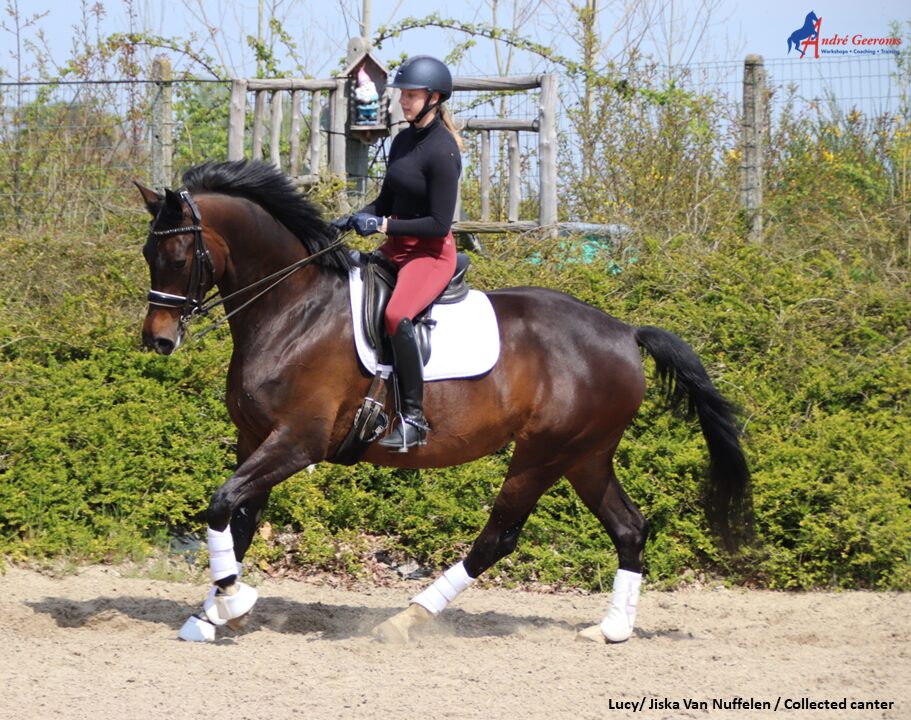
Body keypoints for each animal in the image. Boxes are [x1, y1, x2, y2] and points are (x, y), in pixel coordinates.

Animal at [134, 160, 748, 644]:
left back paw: (406, 620)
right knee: (629, 528)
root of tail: (624, 332)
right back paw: (613, 628)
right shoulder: (255, 438)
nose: (158, 340)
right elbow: (236, 521)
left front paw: (232, 604)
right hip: (586, 456)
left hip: (544, 454)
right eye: (147, 252)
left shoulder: (296, 442)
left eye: (180, 254)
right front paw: (213, 614)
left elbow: (221, 505)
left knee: (500, 536)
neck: (292, 308)